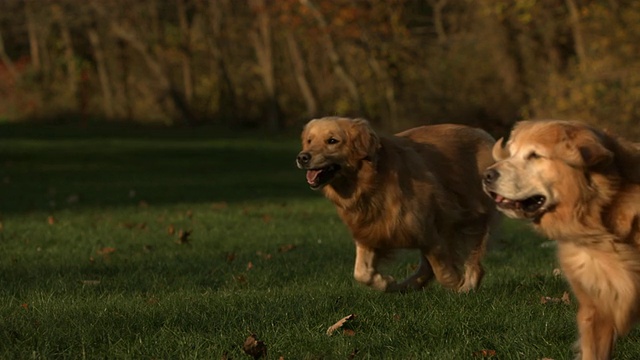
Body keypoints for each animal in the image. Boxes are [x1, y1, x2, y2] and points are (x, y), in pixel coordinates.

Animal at [296, 117, 496, 292]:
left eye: (332, 141)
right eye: (309, 140)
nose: (302, 157)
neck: (371, 182)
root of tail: (483, 133)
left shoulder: (428, 231)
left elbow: (442, 271)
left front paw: (456, 283)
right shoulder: (369, 229)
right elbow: (361, 273)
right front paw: (385, 282)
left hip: (473, 218)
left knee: (474, 264)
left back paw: (467, 287)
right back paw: (407, 286)